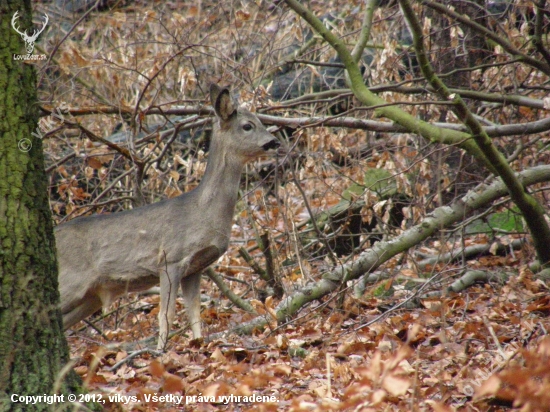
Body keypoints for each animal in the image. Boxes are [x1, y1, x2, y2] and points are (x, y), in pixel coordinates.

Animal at [57, 85, 280, 350]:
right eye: (247, 125)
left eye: (260, 121)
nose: (274, 142)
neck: (203, 211)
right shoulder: (170, 258)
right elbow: (167, 314)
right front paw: (160, 351)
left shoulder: (196, 267)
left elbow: (195, 313)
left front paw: (198, 344)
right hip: (71, 282)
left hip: (90, 297)